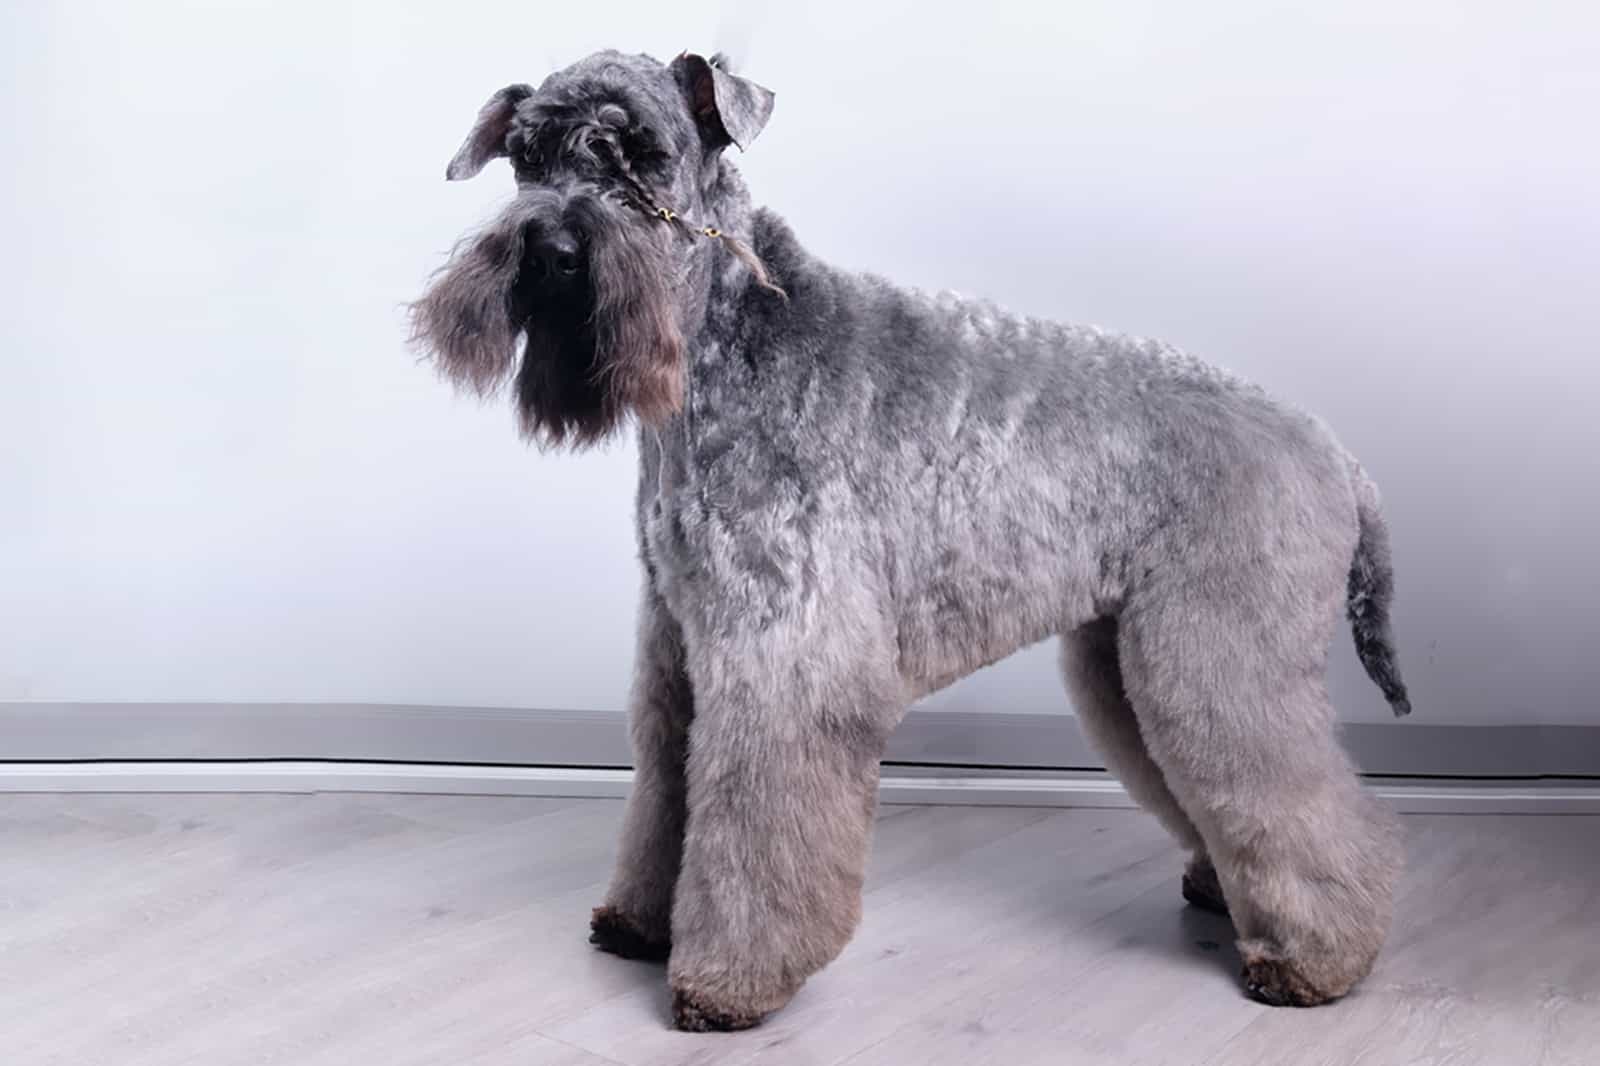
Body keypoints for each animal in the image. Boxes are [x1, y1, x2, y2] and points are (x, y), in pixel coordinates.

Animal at [412, 49, 1414, 1030]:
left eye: (642, 156)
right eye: (527, 158)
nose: (551, 250)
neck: (727, 343)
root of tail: (1338, 455)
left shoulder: (783, 649)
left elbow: (752, 817)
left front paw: (727, 982)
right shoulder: (678, 643)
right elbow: (668, 784)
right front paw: (638, 923)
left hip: (1215, 655)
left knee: (1306, 797)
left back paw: (1314, 958)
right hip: (1125, 660)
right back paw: (1223, 888)